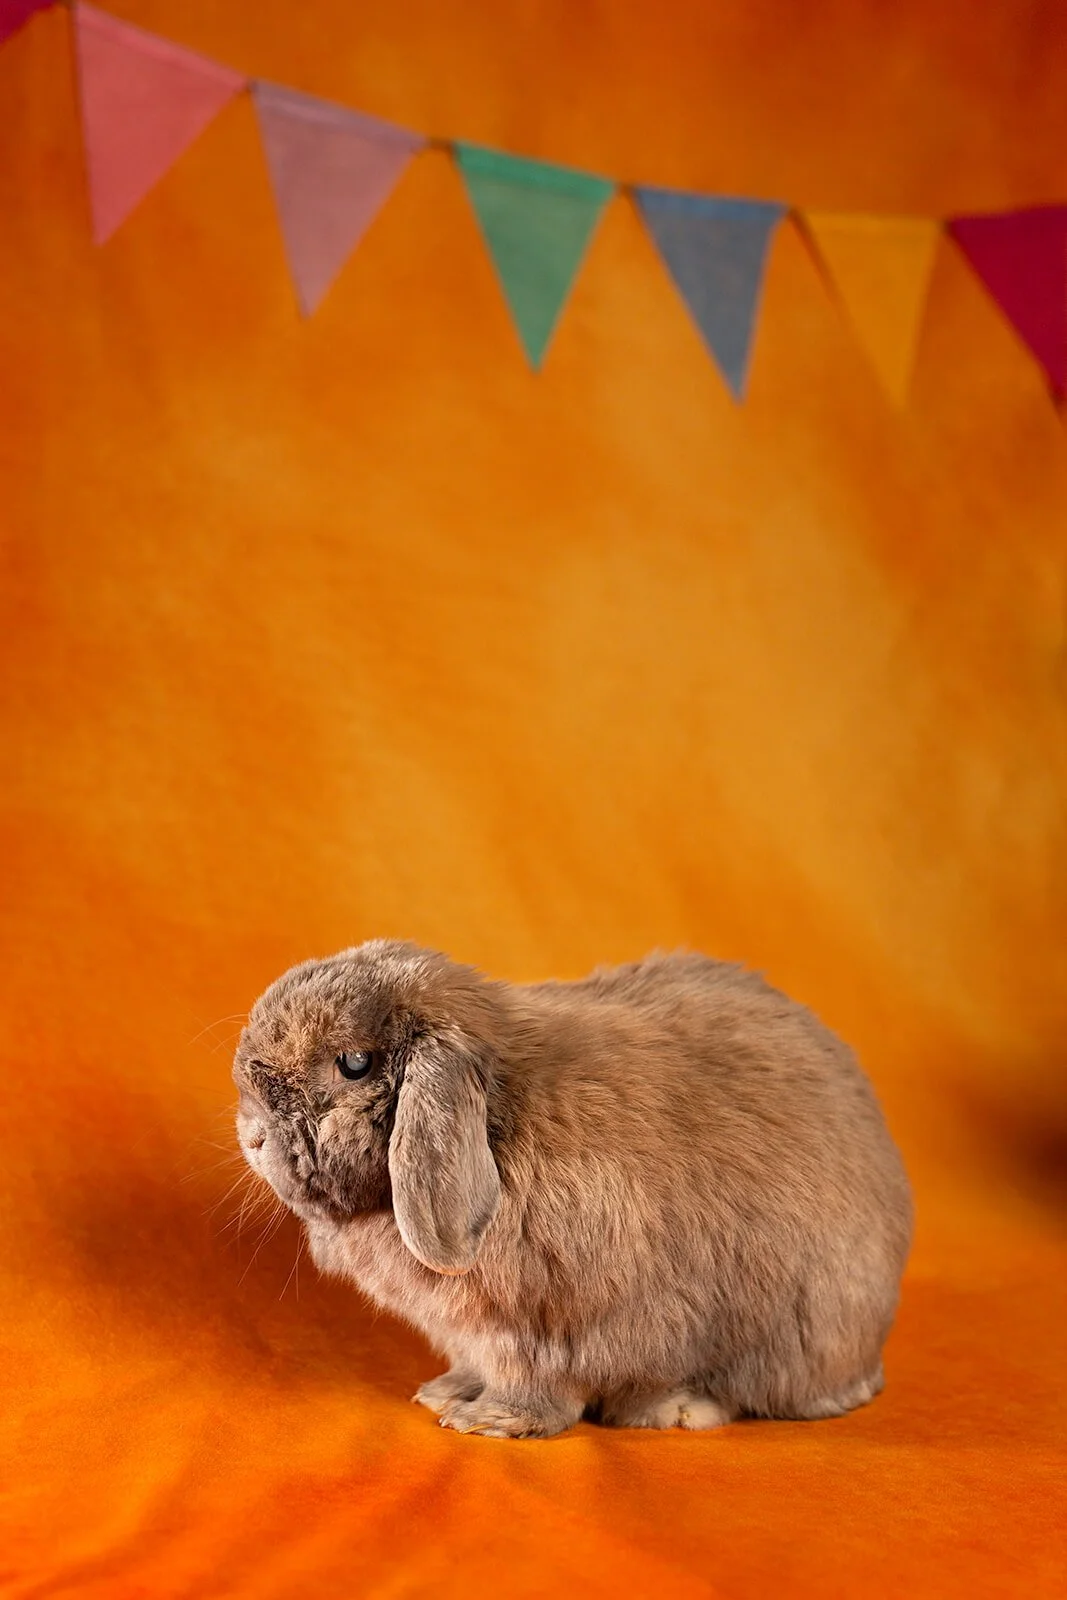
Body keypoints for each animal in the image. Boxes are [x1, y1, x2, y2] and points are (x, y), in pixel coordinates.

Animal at [232, 940, 912, 1439]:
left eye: (355, 1063)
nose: (253, 1134)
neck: (501, 1116)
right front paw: (445, 1393)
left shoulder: (539, 1332)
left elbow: (538, 1388)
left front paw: (488, 1420)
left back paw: (677, 1408)